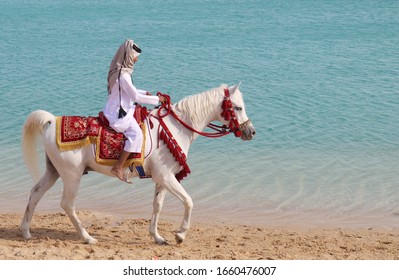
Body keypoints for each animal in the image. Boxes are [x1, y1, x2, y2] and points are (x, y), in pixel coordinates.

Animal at [20, 82, 256, 244]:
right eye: (237, 107)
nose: (251, 131)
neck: (176, 127)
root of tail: (52, 121)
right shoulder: (166, 176)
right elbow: (188, 201)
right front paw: (180, 234)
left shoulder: (163, 179)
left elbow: (157, 205)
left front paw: (157, 237)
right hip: (72, 176)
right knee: (67, 204)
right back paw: (87, 237)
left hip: (53, 172)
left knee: (35, 194)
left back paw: (26, 231)